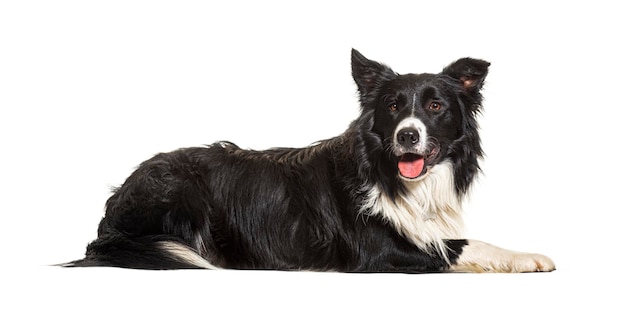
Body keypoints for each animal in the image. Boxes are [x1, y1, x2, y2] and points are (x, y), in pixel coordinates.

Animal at [62, 49, 552, 272]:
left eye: (435, 107)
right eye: (393, 106)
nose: (407, 135)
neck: (392, 177)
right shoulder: (380, 250)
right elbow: (463, 245)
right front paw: (530, 257)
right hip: (183, 189)